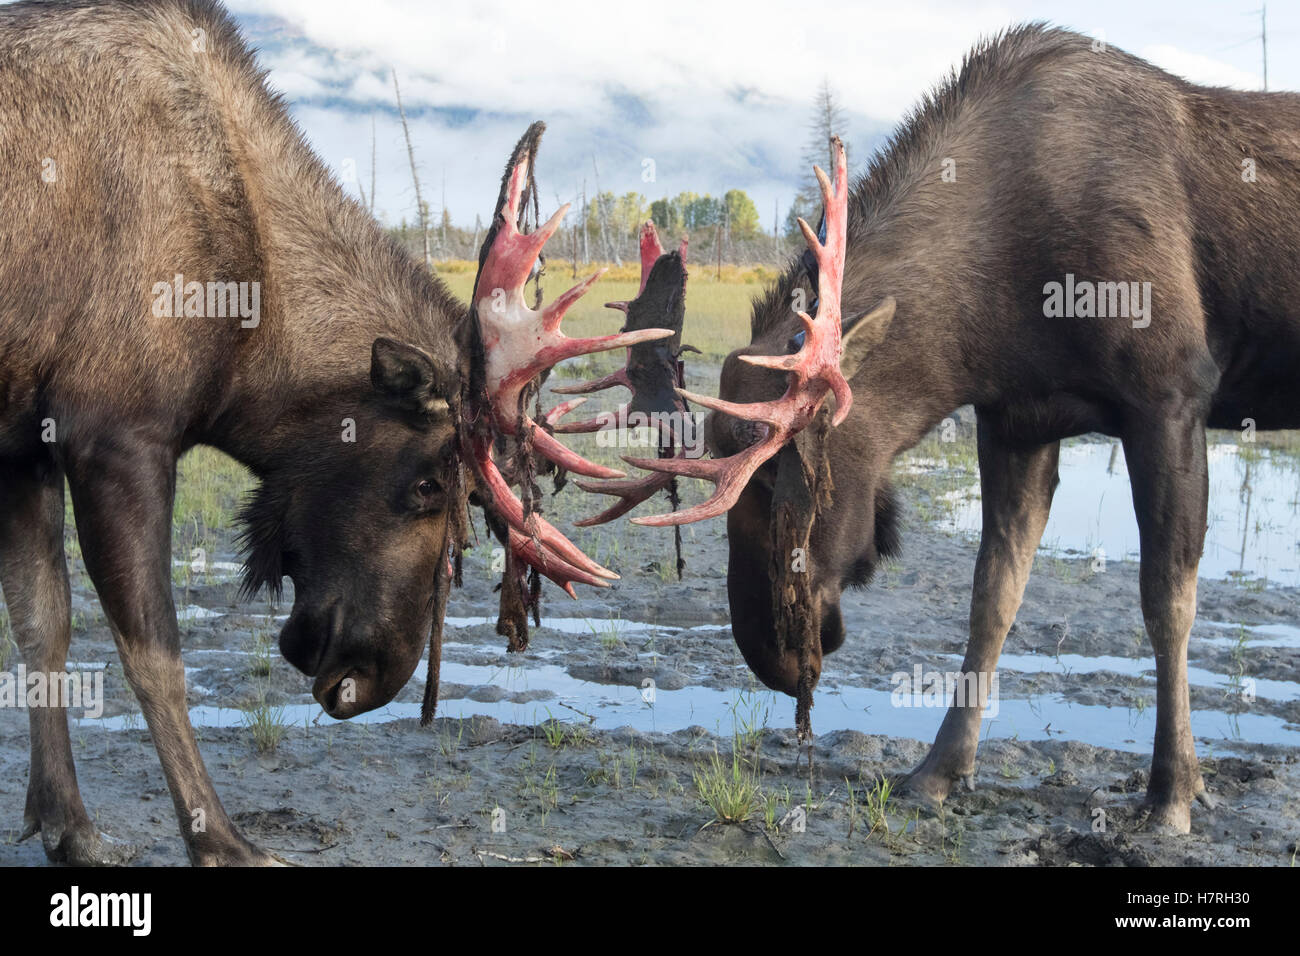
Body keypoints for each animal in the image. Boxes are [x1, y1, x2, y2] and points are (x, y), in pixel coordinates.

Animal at [621, 20, 1300, 832]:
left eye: (785, 472)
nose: (765, 652)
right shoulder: (1017, 419)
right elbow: (992, 596)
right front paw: (940, 770)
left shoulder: (1171, 396)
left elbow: (1168, 601)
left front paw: (1173, 791)